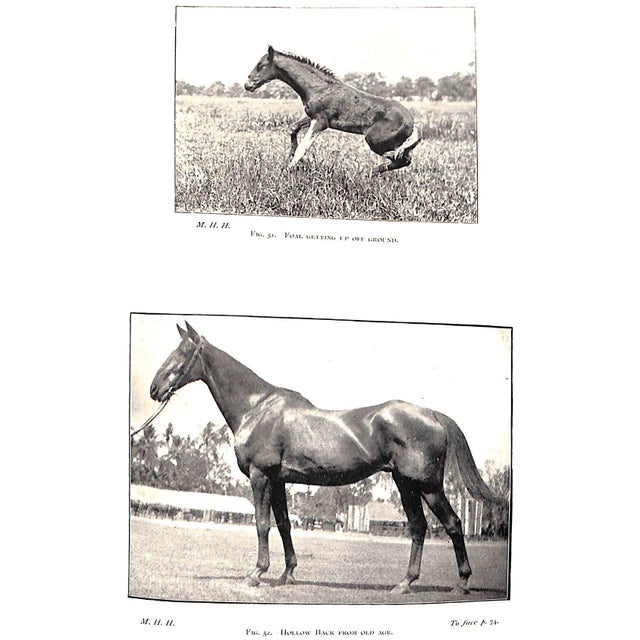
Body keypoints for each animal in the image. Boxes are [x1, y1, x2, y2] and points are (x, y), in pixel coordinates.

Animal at [149, 322, 501, 594]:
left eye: (181, 354)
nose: (154, 389)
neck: (258, 407)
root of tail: (433, 415)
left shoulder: (261, 476)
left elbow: (261, 524)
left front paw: (256, 574)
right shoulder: (278, 480)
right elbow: (284, 524)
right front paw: (287, 574)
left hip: (427, 486)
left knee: (453, 524)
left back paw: (460, 584)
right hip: (406, 485)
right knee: (418, 528)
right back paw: (404, 583)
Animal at [244, 46, 422, 175]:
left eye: (261, 65)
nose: (247, 85)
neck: (320, 87)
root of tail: (413, 125)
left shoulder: (321, 122)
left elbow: (303, 148)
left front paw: (286, 171)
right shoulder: (313, 117)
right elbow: (293, 128)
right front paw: (291, 157)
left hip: (374, 140)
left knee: (401, 159)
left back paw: (365, 174)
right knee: (403, 158)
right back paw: (367, 174)